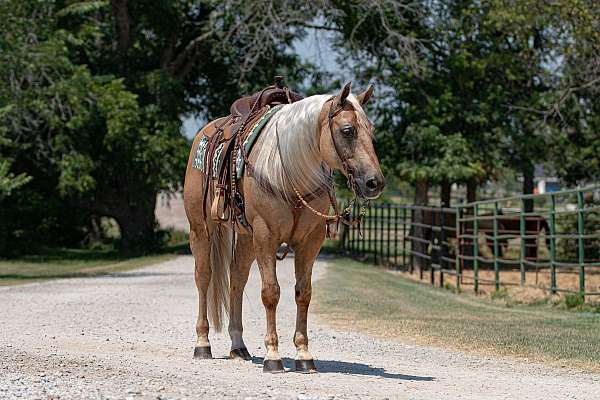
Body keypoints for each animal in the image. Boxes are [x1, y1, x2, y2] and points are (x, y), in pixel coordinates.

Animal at [183, 83, 384, 374]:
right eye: (347, 130)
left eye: (371, 130)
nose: (374, 182)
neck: (288, 171)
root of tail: (206, 132)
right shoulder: (266, 236)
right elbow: (271, 293)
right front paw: (273, 356)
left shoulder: (310, 242)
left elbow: (303, 293)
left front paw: (303, 354)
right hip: (201, 229)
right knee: (203, 277)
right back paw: (202, 343)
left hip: (246, 238)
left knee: (237, 280)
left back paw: (238, 347)